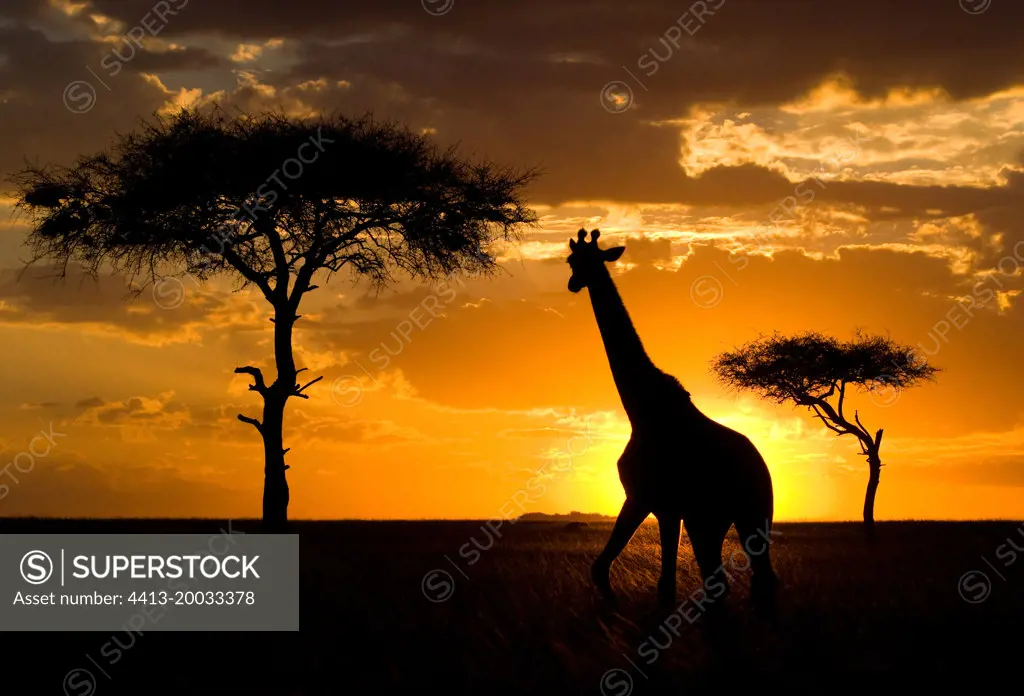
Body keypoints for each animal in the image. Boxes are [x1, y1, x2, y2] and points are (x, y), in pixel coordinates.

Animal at [569, 231, 774, 605]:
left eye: (587, 261)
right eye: (572, 261)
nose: (573, 283)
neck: (640, 409)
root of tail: (763, 466)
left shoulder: (646, 497)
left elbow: (638, 578)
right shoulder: (664, 505)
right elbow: (652, 579)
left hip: (747, 513)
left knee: (751, 579)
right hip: (714, 518)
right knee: (723, 580)